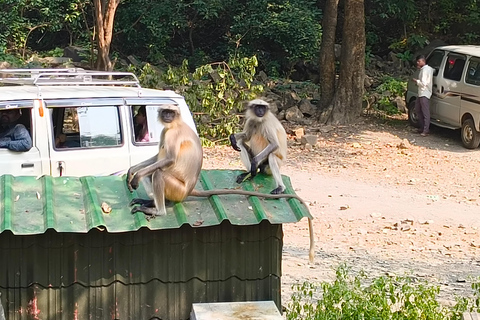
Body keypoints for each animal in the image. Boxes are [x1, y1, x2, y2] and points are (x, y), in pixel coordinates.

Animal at [127, 102, 316, 262]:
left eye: (171, 113)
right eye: (165, 112)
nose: (167, 116)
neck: (175, 125)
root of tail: (189, 190)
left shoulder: (173, 134)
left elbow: (169, 159)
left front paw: (136, 176)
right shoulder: (165, 131)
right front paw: (132, 171)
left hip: (177, 189)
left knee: (158, 173)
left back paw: (159, 211)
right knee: (151, 172)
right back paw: (150, 201)